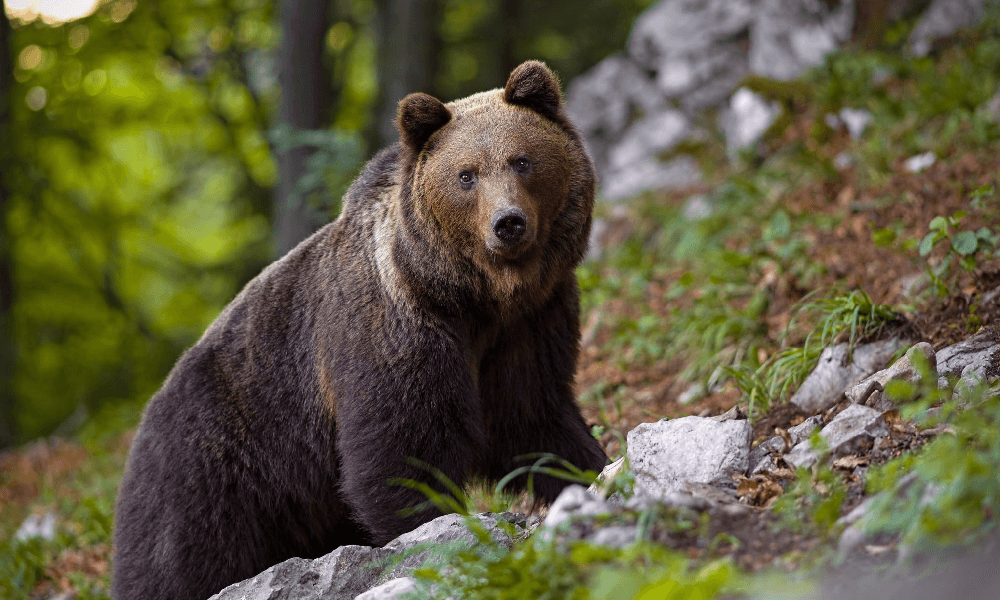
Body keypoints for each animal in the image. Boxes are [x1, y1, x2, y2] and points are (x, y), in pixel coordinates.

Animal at [112, 62, 604, 600]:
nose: (507, 223)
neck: (472, 297)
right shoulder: (395, 328)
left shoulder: (529, 325)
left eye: (522, 161)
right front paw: (435, 531)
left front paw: (589, 471)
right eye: (466, 175)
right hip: (212, 469)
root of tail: (140, 426)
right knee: (180, 563)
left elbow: (531, 417)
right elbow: (403, 449)